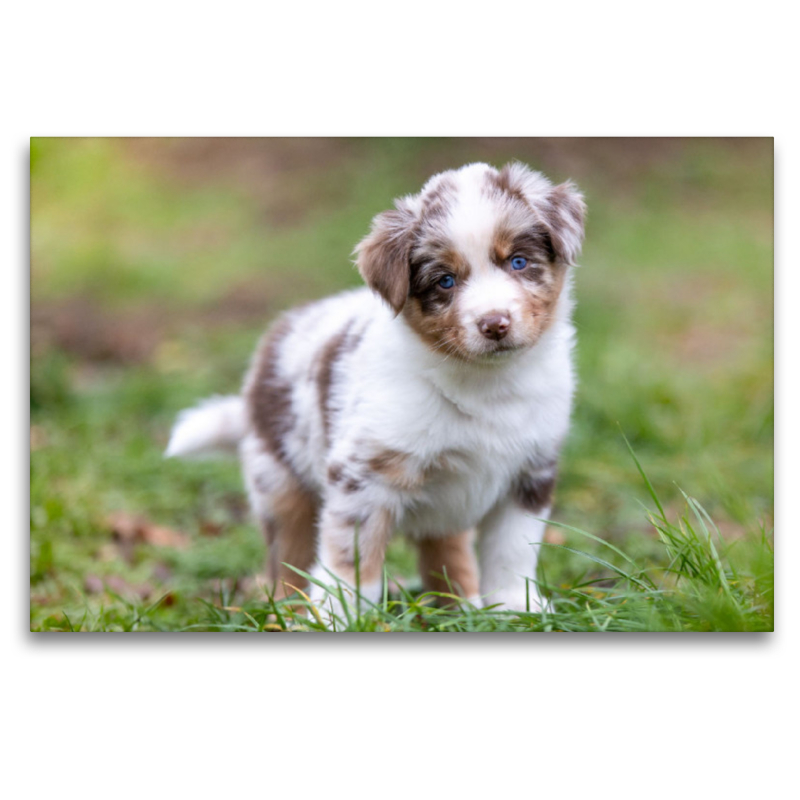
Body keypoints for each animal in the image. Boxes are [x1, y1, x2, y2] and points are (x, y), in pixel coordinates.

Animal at [166, 161, 584, 620]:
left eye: (518, 261)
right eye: (445, 281)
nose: (494, 324)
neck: (485, 382)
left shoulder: (530, 472)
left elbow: (513, 549)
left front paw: (514, 606)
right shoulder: (365, 475)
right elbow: (351, 556)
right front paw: (334, 616)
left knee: (445, 549)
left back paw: (461, 609)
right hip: (279, 482)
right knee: (288, 561)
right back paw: (288, 614)